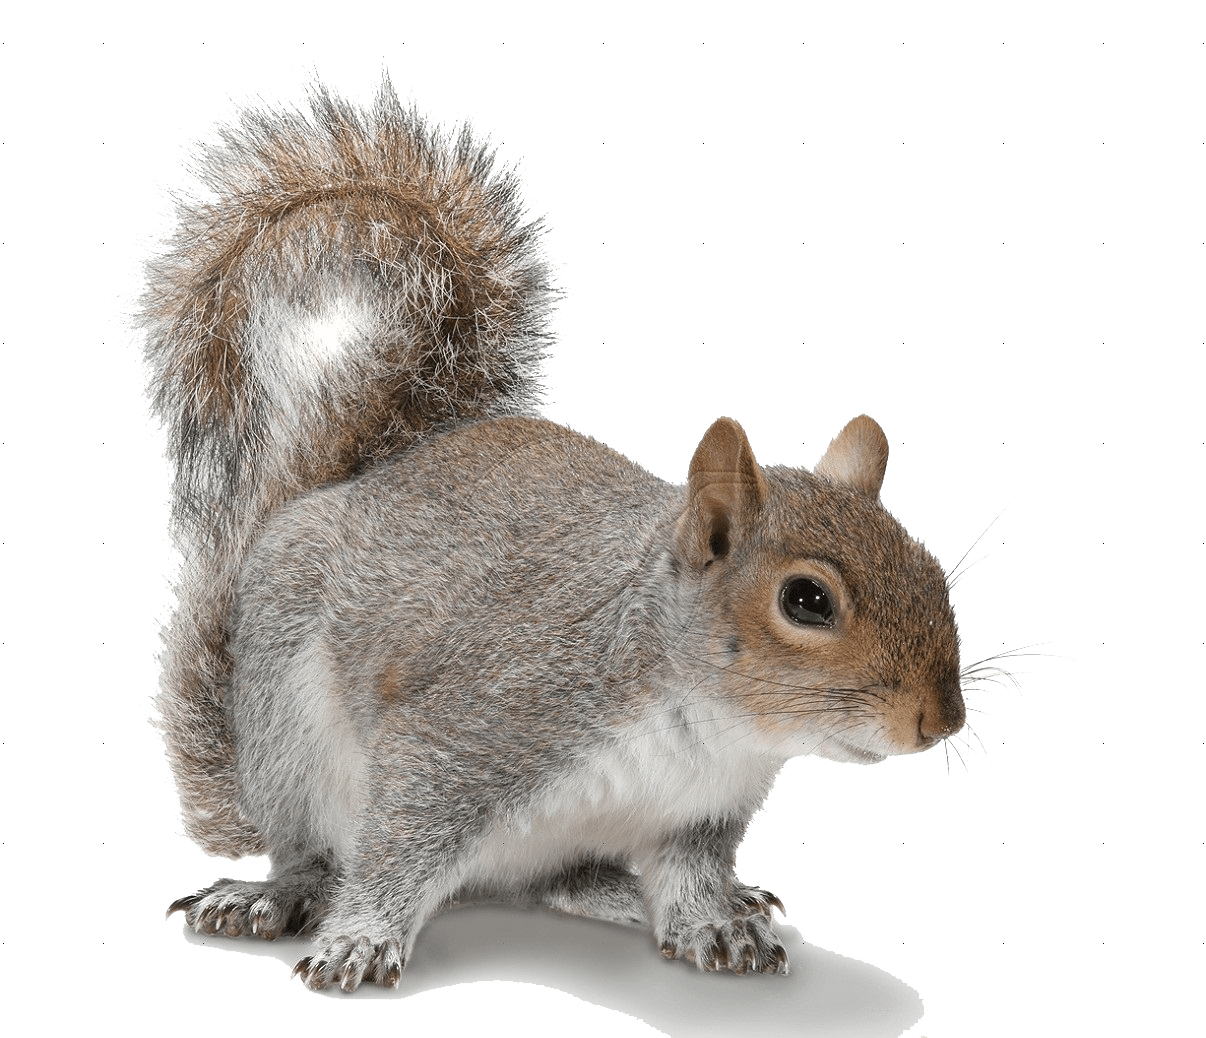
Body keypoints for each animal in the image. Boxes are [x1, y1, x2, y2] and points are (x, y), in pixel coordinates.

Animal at [135, 75, 967, 994]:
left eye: (933, 574)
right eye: (808, 600)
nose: (940, 721)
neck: (706, 727)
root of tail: (341, 491)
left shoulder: (698, 814)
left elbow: (689, 877)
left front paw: (715, 922)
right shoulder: (477, 728)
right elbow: (397, 845)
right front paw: (361, 940)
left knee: (558, 882)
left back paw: (659, 896)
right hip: (286, 726)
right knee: (314, 851)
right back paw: (275, 895)